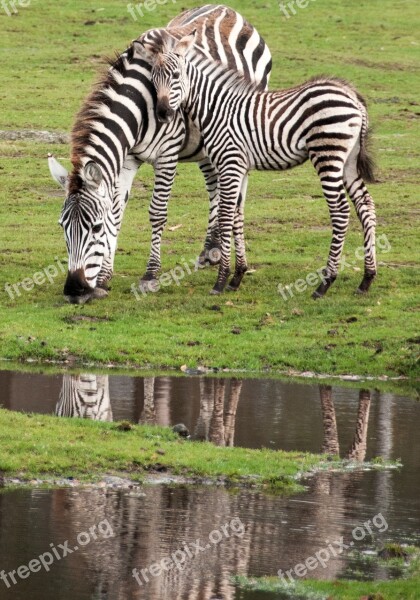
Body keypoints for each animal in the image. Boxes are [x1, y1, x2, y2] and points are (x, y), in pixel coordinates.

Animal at [49, 3, 272, 304]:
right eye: (62, 226)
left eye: (94, 228)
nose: (74, 291)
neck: (139, 104)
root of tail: (226, 9)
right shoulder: (127, 158)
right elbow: (116, 213)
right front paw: (105, 277)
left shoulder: (166, 155)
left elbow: (157, 211)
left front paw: (150, 276)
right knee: (214, 184)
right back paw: (211, 248)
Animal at [135, 30, 378, 298]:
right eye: (153, 80)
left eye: (176, 76)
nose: (163, 113)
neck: (215, 109)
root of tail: (352, 96)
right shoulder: (240, 167)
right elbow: (237, 215)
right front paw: (237, 276)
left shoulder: (229, 164)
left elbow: (225, 215)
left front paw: (221, 280)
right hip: (349, 160)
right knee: (365, 204)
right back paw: (366, 279)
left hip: (327, 154)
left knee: (341, 211)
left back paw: (325, 283)